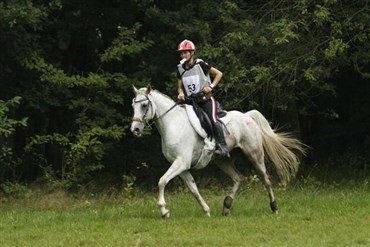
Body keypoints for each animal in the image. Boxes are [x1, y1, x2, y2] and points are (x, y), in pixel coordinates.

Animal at [132, 85, 304, 218]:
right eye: (133, 106)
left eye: (144, 105)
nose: (135, 129)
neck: (174, 124)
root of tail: (247, 116)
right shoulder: (182, 166)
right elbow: (193, 189)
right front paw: (207, 211)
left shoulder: (181, 163)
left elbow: (162, 181)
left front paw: (163, 211)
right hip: (223, 160)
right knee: (238, 178)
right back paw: (227, 206)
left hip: (254, 155)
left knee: (266, 180)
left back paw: (274, 207)